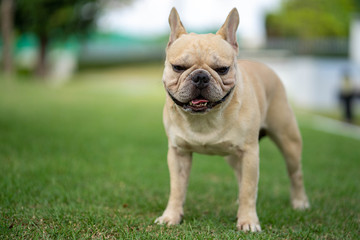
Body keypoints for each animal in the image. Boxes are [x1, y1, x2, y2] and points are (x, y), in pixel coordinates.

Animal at [155, 7, 310, 232]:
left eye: (222, 69)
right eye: (178, 67)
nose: (200, 77)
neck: (205, 118)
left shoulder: (250, 153)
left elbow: (249, 188)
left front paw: (248, 221)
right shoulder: (178, 153)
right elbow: (177, 188)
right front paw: (171, 216)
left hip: (288, 141)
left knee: (295, 173)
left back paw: (300, 202)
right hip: (234, 156)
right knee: (240, 175)